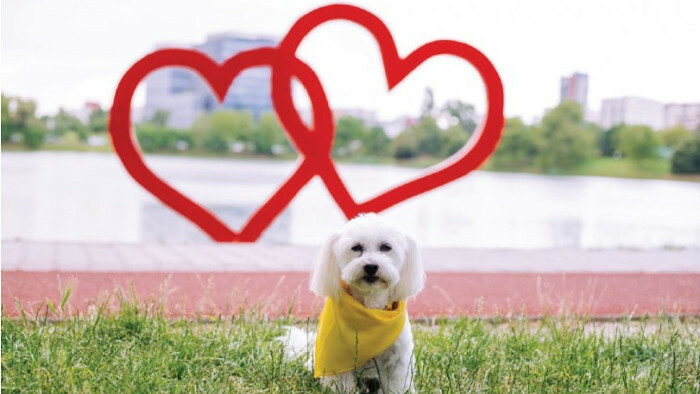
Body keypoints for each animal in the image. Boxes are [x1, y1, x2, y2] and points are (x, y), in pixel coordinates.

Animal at [280, 214, 424, 392]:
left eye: (386, 247)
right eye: (356, 247)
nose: (371, 266)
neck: (369, 309)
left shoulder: (398, 360)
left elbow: (396, 385)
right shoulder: (337, 362)